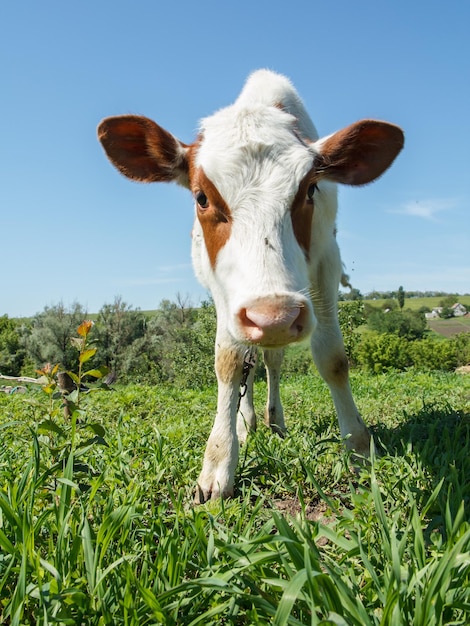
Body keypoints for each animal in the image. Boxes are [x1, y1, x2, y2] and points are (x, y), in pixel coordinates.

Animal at [96, 68, 404, 500]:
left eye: (310, 189)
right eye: (202, 197)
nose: (273, 316)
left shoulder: (326, 262)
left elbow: (332, 359)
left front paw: (358, 446)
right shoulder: (220, 286)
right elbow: (230, 361)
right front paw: (220, 460)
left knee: (272, 362)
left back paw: (275, 420)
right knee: (252, 360)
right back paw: (248, 422)